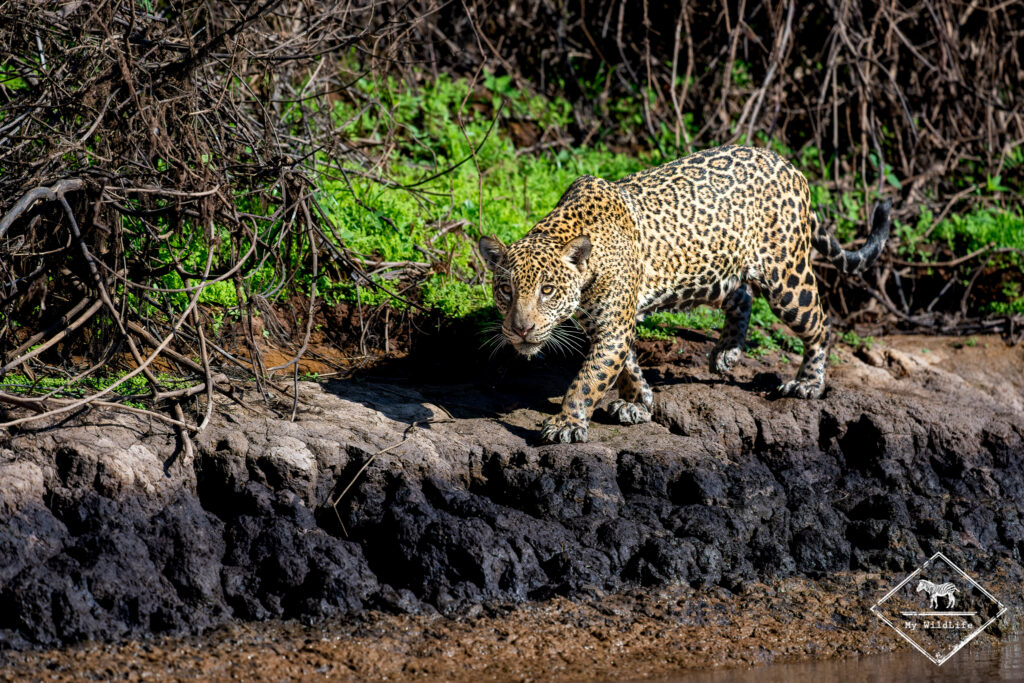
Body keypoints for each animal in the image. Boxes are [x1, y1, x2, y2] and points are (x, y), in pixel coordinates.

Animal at [479, 144, 891, 444]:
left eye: (547, 290)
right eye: (506, 290)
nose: (521, 329)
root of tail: (790, 166)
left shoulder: (612, 328)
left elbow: (589, 379)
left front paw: (566, 423)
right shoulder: (608, 325)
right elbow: (626, 365)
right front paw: (638, 403)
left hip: (787, 278)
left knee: (820, 324)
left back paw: (807, 384)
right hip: (713, 271)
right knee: (741, 297)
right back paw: (727, 353)